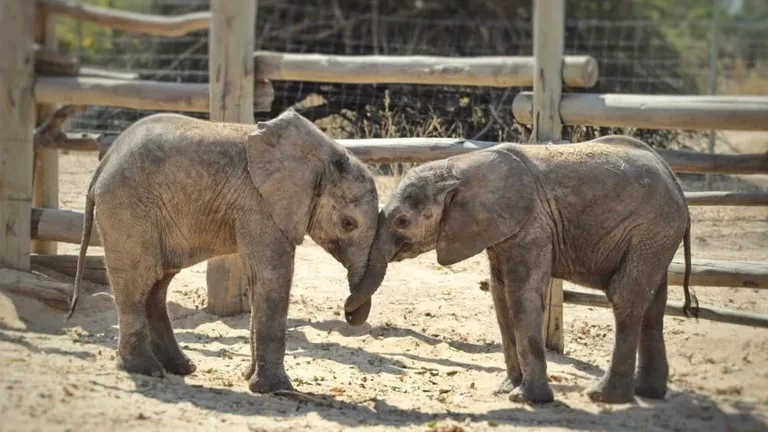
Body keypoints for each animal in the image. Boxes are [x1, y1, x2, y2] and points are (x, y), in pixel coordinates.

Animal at [66, 108, 379, 393]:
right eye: (348, 224)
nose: (348, 314)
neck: (323, 150)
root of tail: (102, 165)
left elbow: (258, 282)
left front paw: (249, 379)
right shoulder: (259, 204)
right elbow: (272, 277)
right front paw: (277, 391)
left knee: (157, 285)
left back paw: (180, 367)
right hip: (128, 208)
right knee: (139, 280)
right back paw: (145, 370)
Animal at [343, 135, 698, 404]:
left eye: (403, 221)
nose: (348, 313)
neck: (459, 168)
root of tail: (675, 180)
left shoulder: (530, 225)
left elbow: (520, 293)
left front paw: (527, 399)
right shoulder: (500, 229)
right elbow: (500, 296)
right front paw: (506, 389)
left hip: (650, 230)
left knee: (626, 298)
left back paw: (604, 396)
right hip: (657, 236)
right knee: (653, 305)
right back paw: (648, 394)